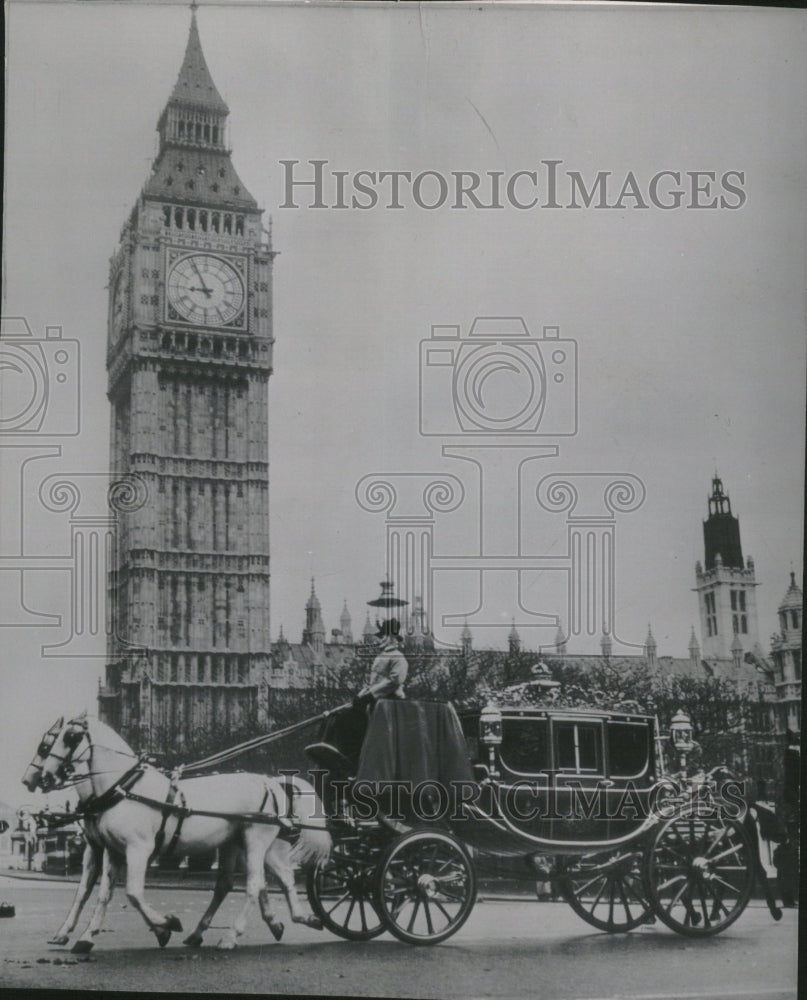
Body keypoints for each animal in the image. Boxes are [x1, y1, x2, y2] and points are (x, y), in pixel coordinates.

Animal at [34, 716, 332, 948]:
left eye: (71, 737)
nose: (43, 777)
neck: (126, 788)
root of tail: (270, 781)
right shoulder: (112, 851)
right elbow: (103, 893)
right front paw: (86, 936)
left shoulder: (138, 849)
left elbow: (133, 892)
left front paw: (167, 925)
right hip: (243, 844)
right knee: (272, 879)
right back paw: (295, 919)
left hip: (255, 840)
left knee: (255, 883)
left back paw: (231, 936)